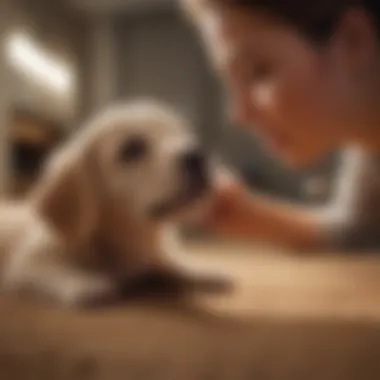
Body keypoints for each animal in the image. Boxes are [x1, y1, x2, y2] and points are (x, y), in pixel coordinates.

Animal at [0, 98, 233, 306]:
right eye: (131, 149)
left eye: (182, 133)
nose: (198, 156)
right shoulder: (24, 262)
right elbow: (49, 269)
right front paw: (83, 283)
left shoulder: (153, 255)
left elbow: (171, 263)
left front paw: (200, 270)